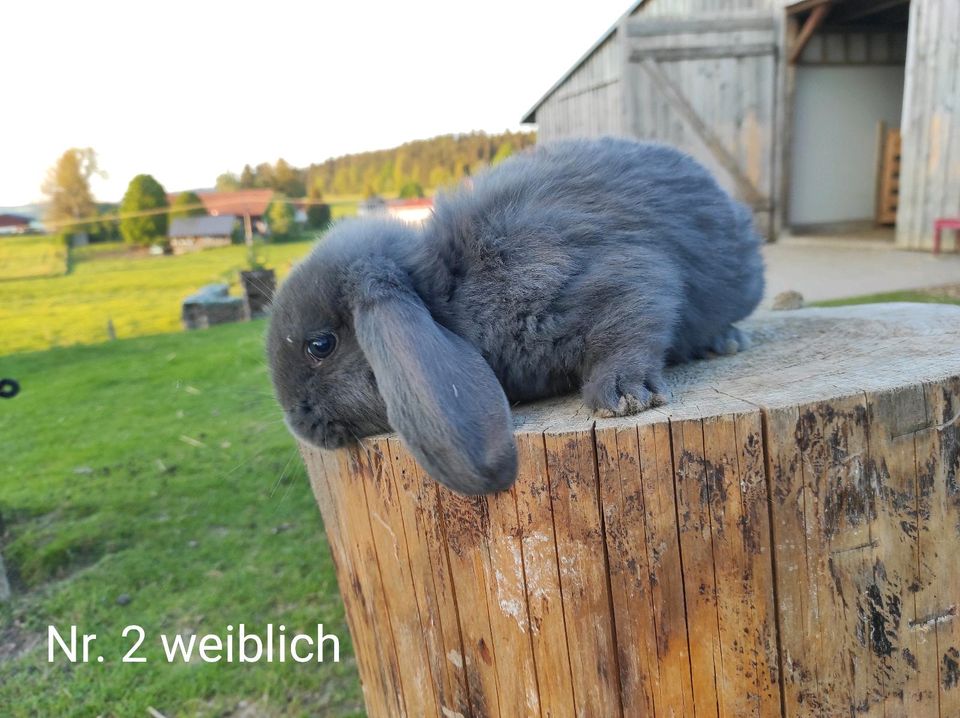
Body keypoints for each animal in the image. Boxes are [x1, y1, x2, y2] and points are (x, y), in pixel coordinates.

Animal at [268, 141, 764, 498]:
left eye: (320, 345)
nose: (299, 424)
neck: (447, 290)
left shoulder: (611, 276)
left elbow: (633, 324)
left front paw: (624, 397)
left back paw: (725, 341)